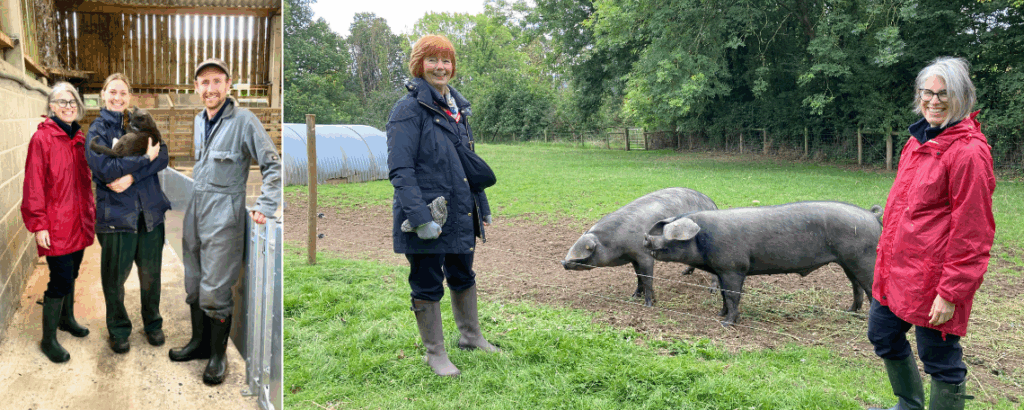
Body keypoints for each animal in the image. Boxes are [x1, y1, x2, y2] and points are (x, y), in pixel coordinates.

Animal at [561, 188, 719, 307]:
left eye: (587, 252)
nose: (563, 262)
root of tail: (713, 204)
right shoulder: (633, 258)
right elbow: (639, 277)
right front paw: (634, 296)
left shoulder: (644, 255)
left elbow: (647, 278)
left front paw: (649, 304)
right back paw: (684, 273)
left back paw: (712, 291)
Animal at [643, 201, 883, 325]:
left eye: (669, 234)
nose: (646, 237)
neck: (705, 239)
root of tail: (872, 216)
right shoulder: (721, 270)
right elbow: (723, 294)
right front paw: (719, 315)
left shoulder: (734, 268)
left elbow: (733, 295)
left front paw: (726, 323)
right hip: (847, 261)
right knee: (855, 286)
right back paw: (849, 312)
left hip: (864, 258)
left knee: (871, 288)